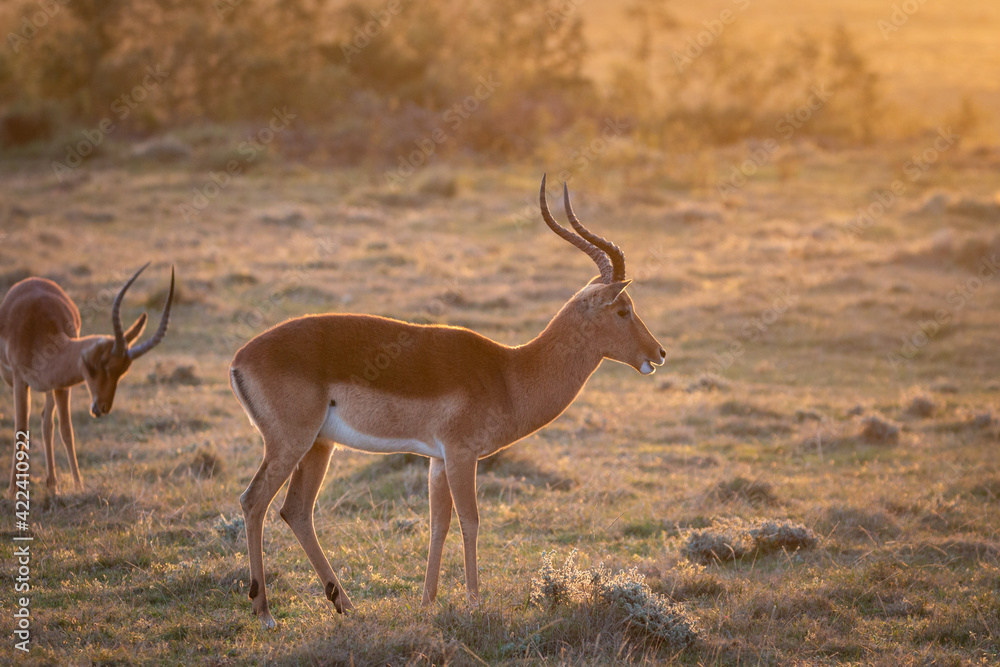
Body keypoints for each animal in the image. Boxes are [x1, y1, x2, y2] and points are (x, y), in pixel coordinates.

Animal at [0, 263, 174, 498]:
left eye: (123, 371)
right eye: (101, 365)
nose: (102, 407)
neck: (40, 334)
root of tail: (33, 279)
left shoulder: (61, 384)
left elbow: (66, 430)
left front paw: (78, 486)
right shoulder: (20, 380)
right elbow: (20, 430)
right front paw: (12, 493)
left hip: (50, 387)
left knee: (47, 422)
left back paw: (52, 485)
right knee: (30, 423)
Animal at [229, 176, 666, 628]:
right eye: (623, 309)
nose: (659, 353)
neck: (509, 373)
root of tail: (240, 358)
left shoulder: (437, 460)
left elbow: (438, 524)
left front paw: (428, 603)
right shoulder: (461, 454)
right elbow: (470, 521)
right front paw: (474, 602)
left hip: (319, 445)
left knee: (295, 510)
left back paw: (344, 604)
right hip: (291, 443)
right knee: (254, 501)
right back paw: (265, 612)